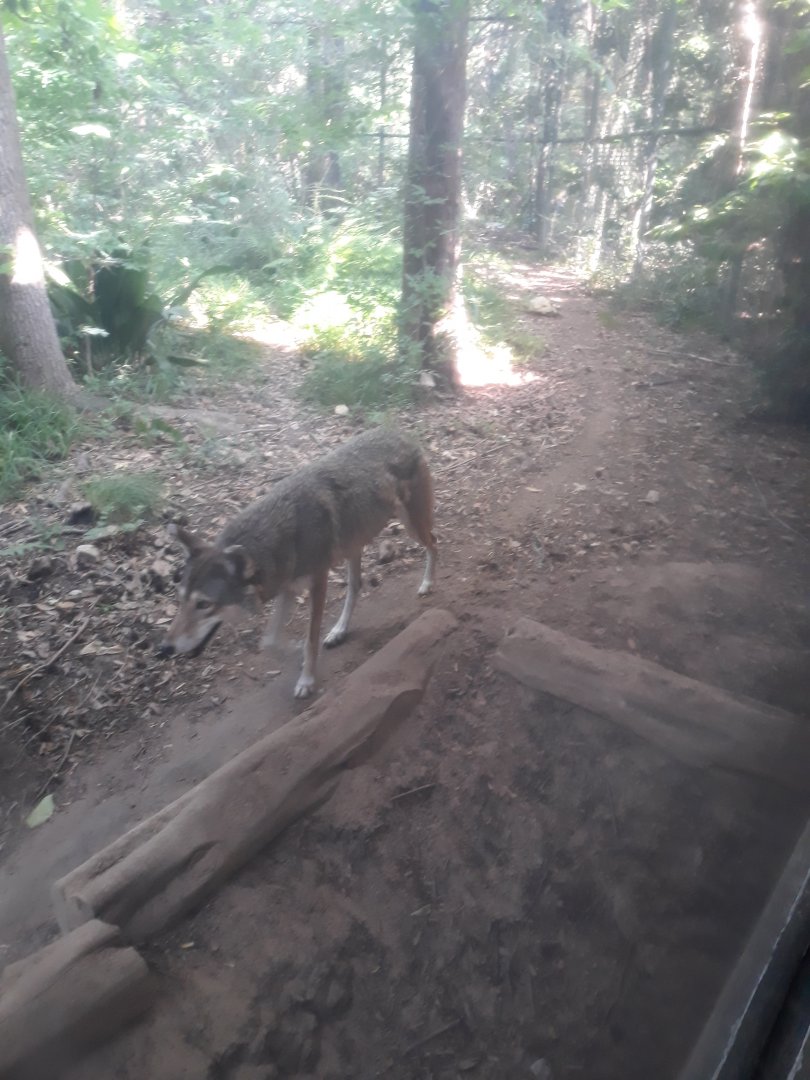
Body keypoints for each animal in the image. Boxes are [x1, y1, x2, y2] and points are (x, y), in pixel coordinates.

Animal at [157, 427, 437, 698]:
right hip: (354, 544)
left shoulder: (318, 583)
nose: (164, 649)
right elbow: (270, 642)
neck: (280, 538)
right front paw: (296, 654)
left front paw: (306, 679)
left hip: (412, 526)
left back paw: (427, 584)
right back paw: (339, 631)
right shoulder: (288, 588)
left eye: (203, 604)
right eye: (180, 599)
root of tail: (399, 432)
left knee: (434, 543)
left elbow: (310, 638)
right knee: (356, 586)